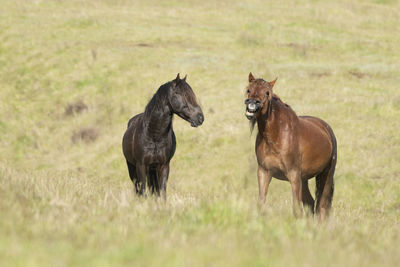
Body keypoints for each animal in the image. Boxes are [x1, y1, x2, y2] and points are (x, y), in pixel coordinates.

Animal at [245, 73, 336, 220]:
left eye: (267, 92)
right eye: (249, 89)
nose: (252, 105)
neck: (277, 135)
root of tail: (325, 127)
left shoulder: (293, 175)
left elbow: (296, 209)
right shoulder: (264, 172)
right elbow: (261, 204)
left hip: (326, 175)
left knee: (322, 206)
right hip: (304, 179)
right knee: (310, 202)